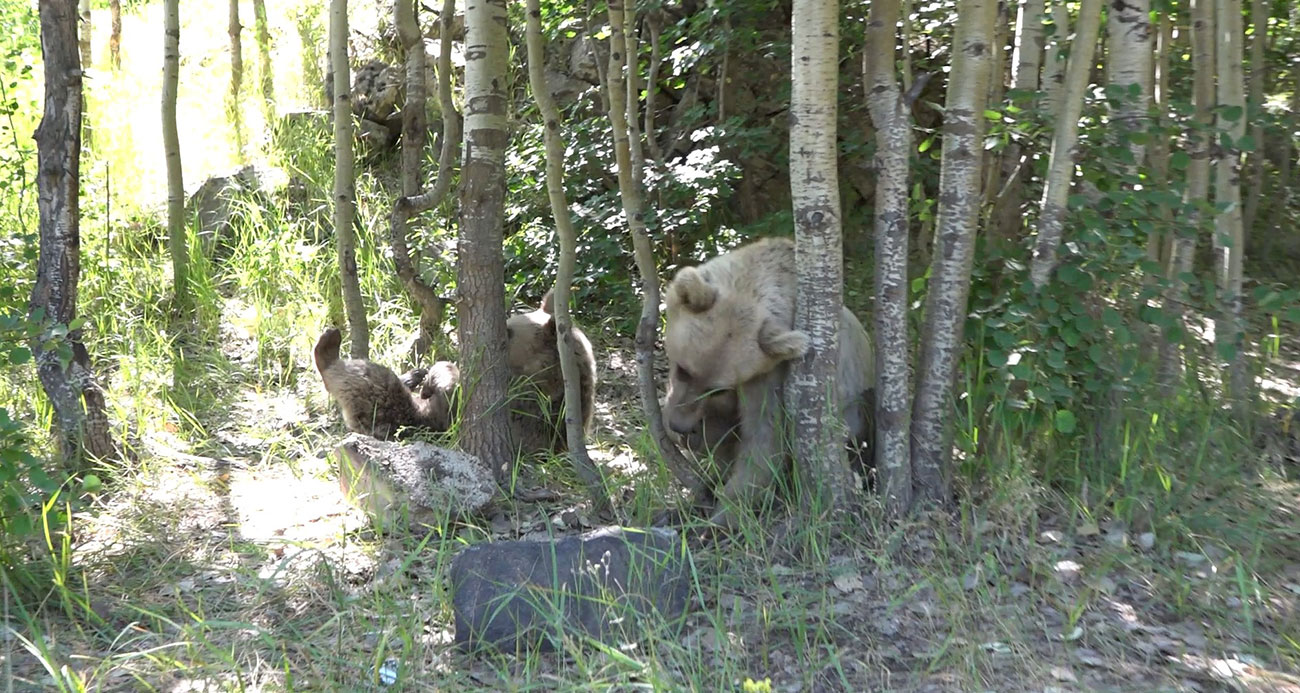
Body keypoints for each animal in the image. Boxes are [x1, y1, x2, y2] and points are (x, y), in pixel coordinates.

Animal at [665, 236, 878, 525]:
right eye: (683, 369)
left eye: (716, 389)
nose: (679, 426)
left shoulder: (770, 373)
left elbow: (764, 439)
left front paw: (724, 514)